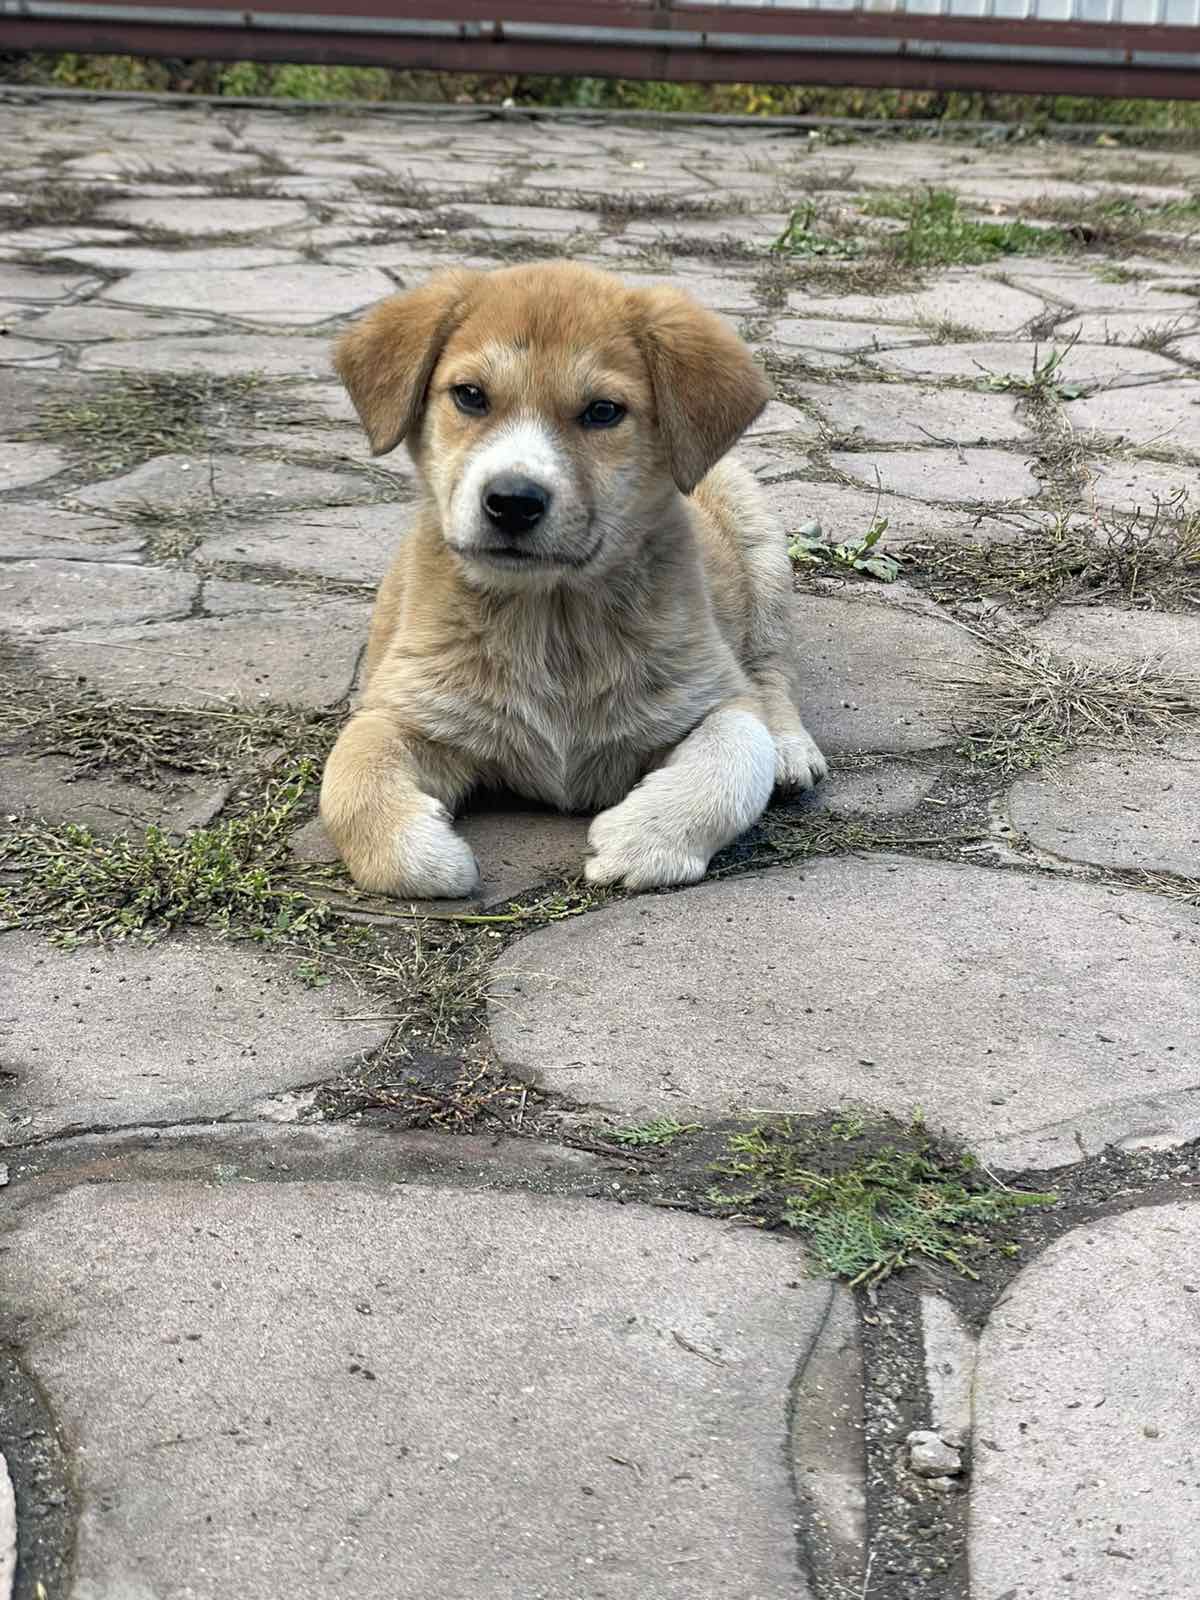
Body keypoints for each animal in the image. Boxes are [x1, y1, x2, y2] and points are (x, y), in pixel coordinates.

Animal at [320, 260, 827, 898]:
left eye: (602, 411)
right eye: (470, 396)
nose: (512, 502)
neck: (551, 619)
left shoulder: (712, 692)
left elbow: (738, 753)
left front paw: (643, 841)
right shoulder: (403, 708)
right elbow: (349, 779)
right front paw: (429, 857)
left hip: (760, 546)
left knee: (771, 670)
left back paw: (791, 748)